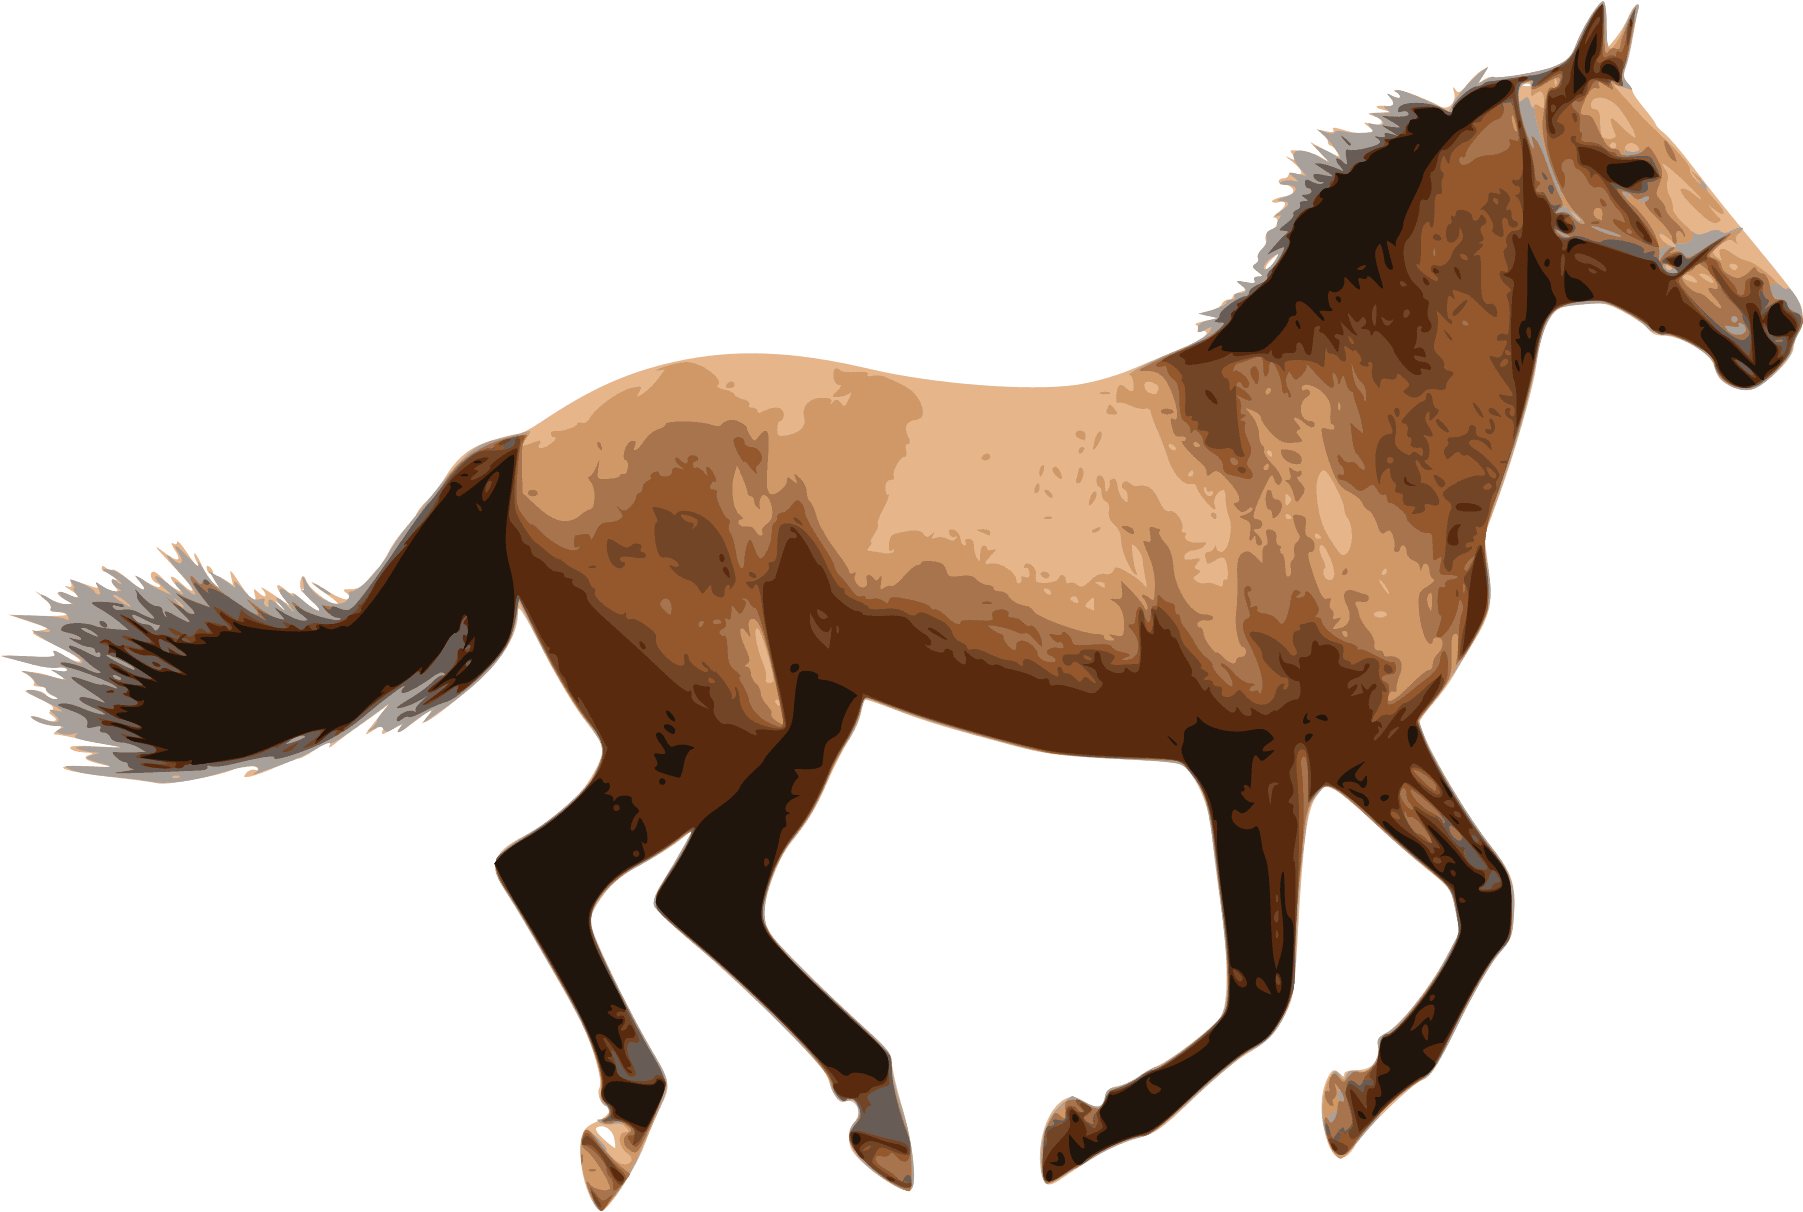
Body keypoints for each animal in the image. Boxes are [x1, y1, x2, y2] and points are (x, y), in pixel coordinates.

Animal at [12, 5, 1795, 1206]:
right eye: (1628, 164)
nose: (1771, 322)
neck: (1319, 448)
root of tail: (536, 441)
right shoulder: (1248, 763)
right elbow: (1259, 992)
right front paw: (1078, 1130)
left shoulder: (1370, 747)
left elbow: (1489, 903)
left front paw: (1358, 1098)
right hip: (706, 722)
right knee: (552, 874)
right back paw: (625, 1125)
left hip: (807, 716)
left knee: (704, 902)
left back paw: (876, 1113)